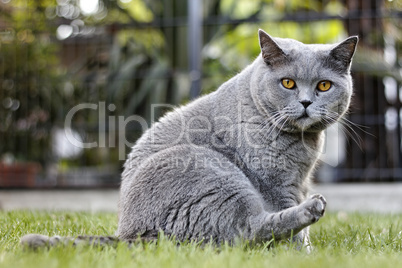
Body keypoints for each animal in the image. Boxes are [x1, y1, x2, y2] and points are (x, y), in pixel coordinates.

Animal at [21, 29, 358, 249]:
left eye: (324, 85)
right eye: (288, 83)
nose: (306, 102)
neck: (305, 143)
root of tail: (132, 235)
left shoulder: (301, 181)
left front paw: (305, 250)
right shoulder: (276, 183)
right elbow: (289, 226)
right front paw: (301, 254)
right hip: (207, 170)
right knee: (247, 231)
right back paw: (313, 209)